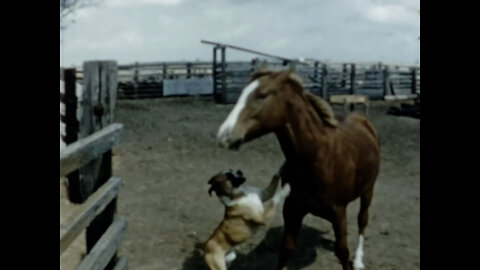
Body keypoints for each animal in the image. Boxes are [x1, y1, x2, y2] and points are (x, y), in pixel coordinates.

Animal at [217, 68, 378, 268]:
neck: (319, 157)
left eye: (263, 95)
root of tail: (362, 119)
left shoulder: (339, 212)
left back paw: (358, 260)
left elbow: (342, 252)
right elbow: (286, 251)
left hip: (368, 190)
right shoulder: (292, 209)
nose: (224, 135)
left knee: (363, 220)